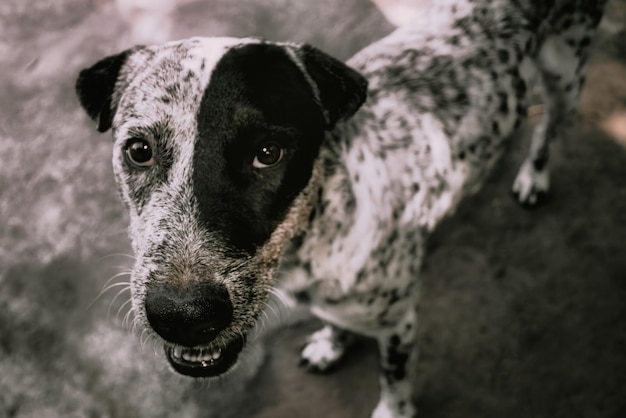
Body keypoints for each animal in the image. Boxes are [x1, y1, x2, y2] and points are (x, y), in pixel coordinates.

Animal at [74, 1, 604, 416]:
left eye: (268, 152)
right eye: (139, 150)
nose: (183, 315)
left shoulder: (399, 324)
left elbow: (394, 383)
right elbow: (334, 322)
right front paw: (332, 344)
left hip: (566, 74)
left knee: (549, 126)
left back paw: (533, 175)